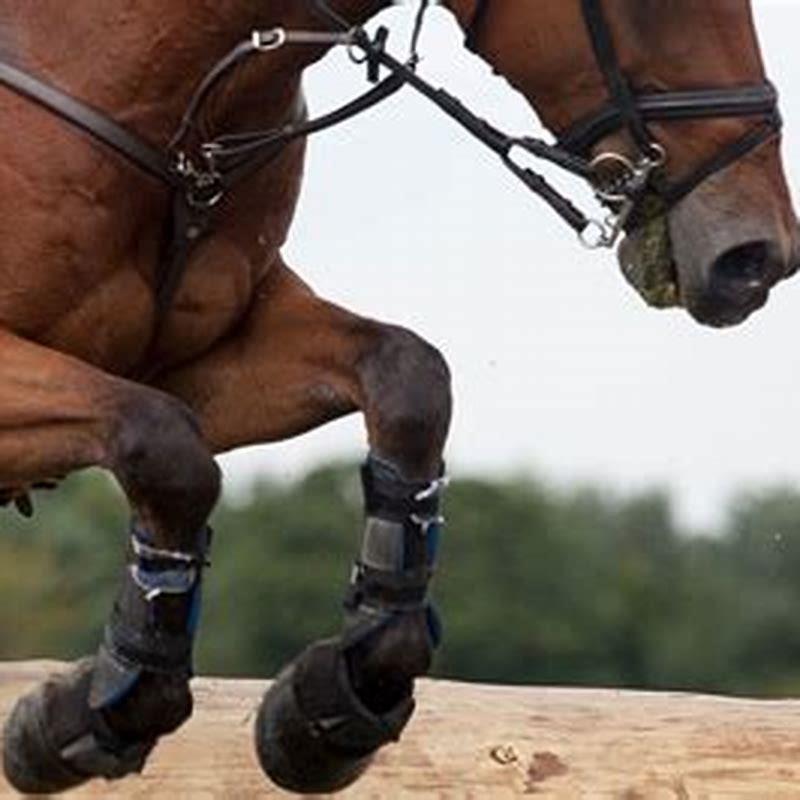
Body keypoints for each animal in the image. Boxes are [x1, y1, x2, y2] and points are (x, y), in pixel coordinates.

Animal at [0, 0, 796, 794]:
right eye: (655, 6)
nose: (757, 258)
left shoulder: (197, 365)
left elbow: (409, 377)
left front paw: (335, 698)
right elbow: (164, 448)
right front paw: (74, 716)